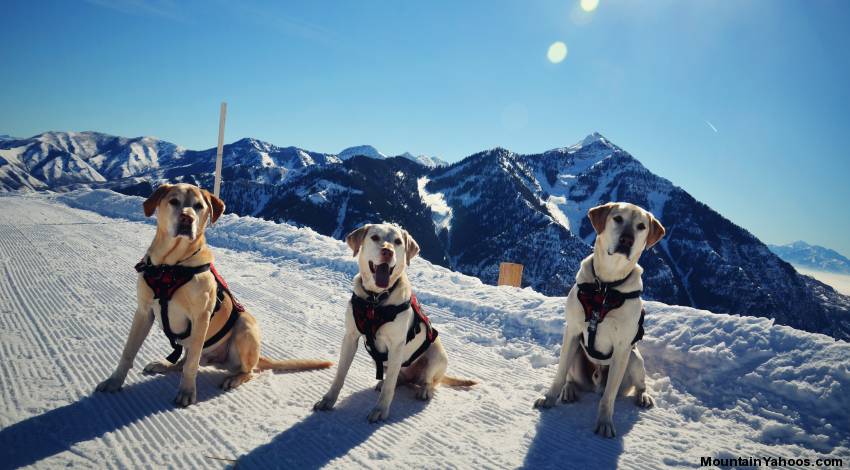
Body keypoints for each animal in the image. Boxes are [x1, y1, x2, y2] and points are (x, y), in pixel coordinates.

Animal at [94, 182, 330, 406]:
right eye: (173, 201)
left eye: (199, 206)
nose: (187, 218)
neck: (170, 266)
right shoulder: (143, 312)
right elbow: (128, 352)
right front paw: (114, 382)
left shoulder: (201, 317)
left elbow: (191, 367)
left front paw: (187, 392)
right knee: (185, 361)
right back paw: (165, 364)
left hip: (244, 325)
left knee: (246, 370)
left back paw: (234, 378)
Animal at [314, 223, 476, 422]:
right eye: (375, 237)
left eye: (398, 241)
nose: (387, 251)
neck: (375, 300)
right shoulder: (350, 338)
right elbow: (340, 375)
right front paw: (328, 400)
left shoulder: (396, 345)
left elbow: (389, 388)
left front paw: (380, 410)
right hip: (385, 361)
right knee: (398, 377)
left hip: (436, 356)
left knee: (428, 381)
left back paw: (424, 390)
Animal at [528, 201, 664, 436]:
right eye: (617, 218)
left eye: (641, 226)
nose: (627, 240)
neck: (606, 286)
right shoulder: (572, 331)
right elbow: (559, 374)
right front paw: (549, 398)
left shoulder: (622, 347)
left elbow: (609, 397)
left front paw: (605, 422)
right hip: (576, 353)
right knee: (571, 378)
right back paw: (569, 390)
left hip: (634, 359)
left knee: (637, 384)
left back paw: (643, 396)